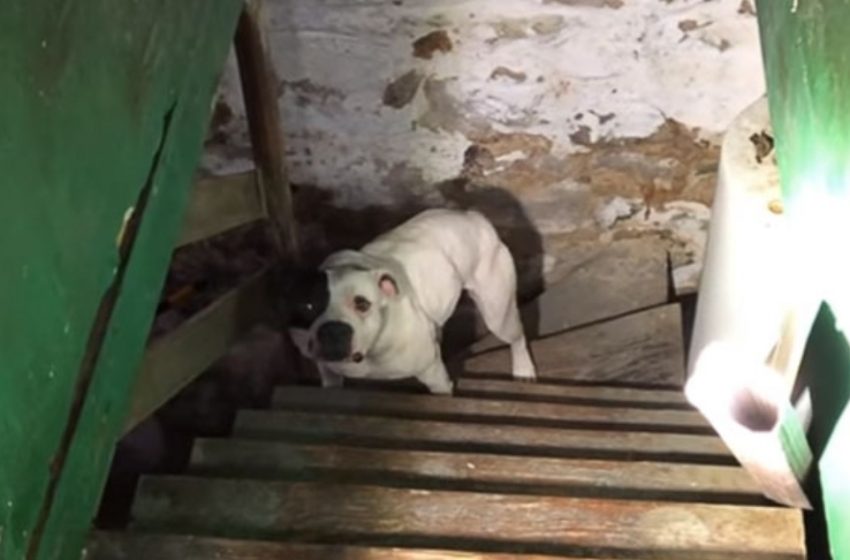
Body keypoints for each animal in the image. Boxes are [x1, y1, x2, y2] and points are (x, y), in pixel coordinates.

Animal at [284, 208, 536, 396]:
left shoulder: (436, 378)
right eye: (307, 306)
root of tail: (473, 217)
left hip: (497, 312)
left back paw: (523, 369)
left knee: (516, 336)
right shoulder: (328, 371)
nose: (333, 330)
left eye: (362, 304)